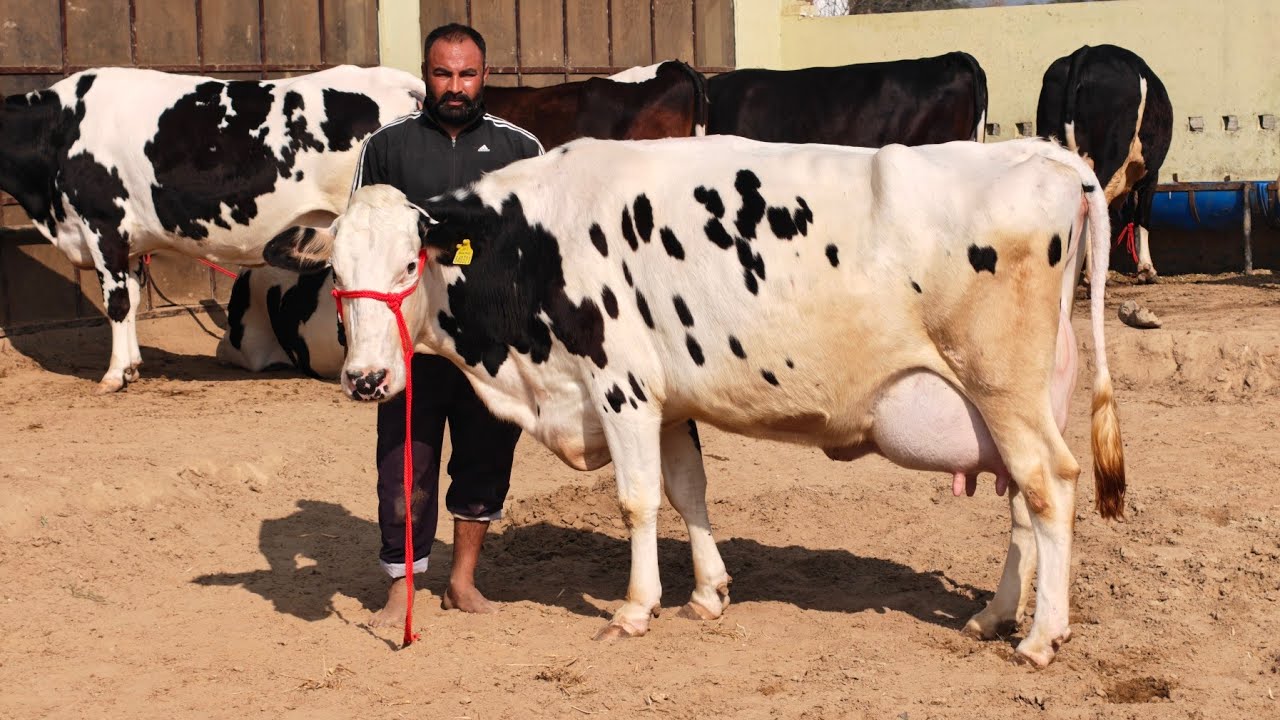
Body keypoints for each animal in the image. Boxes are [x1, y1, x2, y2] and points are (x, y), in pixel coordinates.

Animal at [0, 64, 424, 392]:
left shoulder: (103, 226)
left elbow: (116, 303)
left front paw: (114, 375)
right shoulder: (130, 244)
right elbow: (133, 300)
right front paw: (133, 366)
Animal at [263, 134, 1126, 667]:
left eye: (410, 263)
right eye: (334, 271)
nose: (366, 379)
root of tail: (1047, 155)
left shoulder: (621, 384)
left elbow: (638, 499)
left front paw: (635, 608)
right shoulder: (669, 397)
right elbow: (688, 491)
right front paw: (708, 594)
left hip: (1003, 385)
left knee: (1050, 487)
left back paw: (1041, 638)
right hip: (1017, 397)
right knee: (1022, 503)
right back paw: (995, 615)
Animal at [1037, 44, 1173, 282]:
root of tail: (1086, 52)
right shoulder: (1151, 173)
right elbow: (1142, 217)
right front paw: (1147, 269)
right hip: (1112, 158)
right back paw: (1095, 274)